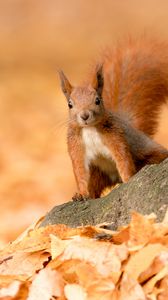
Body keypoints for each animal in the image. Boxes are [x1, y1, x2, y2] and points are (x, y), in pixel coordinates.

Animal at [58, 38, 168, 202]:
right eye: (70, 104)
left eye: (98, 100)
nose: (85, 115)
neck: (90, 129)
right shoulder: (76, 146)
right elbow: (80, 172)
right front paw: (81, 193)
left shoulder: (116, 138)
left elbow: (124, 160)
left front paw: (129, 179)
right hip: (98, 173)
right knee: (94, 187)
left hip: (149, 154)